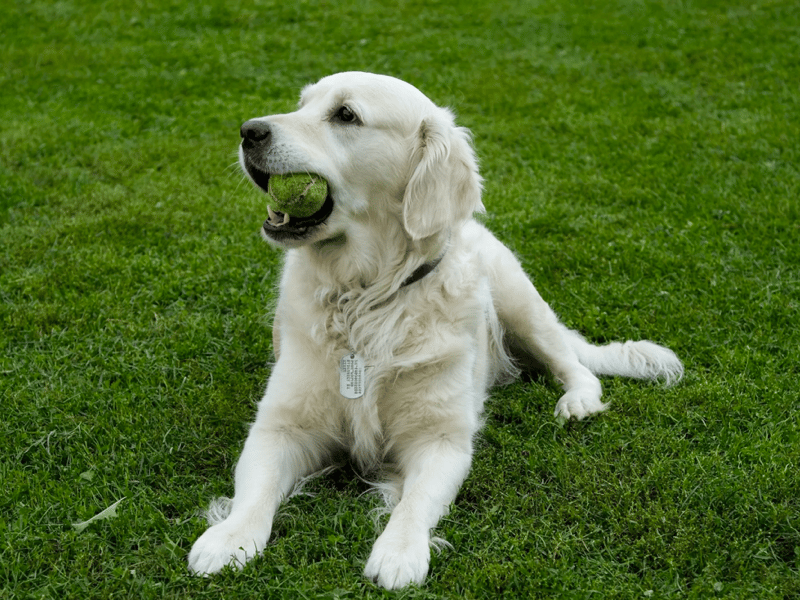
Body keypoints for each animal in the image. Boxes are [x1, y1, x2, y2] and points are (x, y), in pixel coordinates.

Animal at [188, 71, 680, 592]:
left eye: (346, 115)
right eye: (301, 104)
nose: (249, 131)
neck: (365, 299)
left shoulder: (441, 440)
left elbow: (415, 502)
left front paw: (400, 552)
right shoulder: (280, 425)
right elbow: (255, 492)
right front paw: (229, 539)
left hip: (519, 300)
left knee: (574, 364)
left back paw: (578, 402)